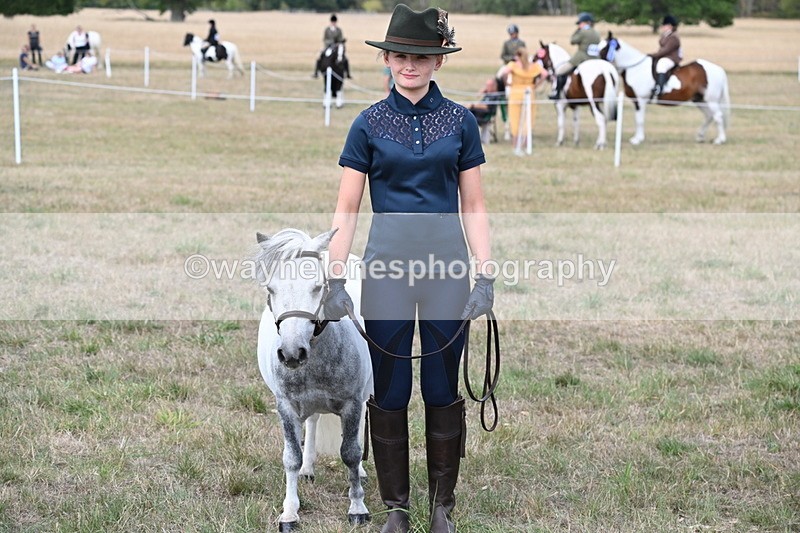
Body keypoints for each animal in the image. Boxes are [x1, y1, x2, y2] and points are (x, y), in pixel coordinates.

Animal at [254, 228, 372, 532]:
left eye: (318, 287)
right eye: (270, 290)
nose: (292, 353)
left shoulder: (351, 403)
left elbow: (351, 452)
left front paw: (357, 508)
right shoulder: (286, 406)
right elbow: (291, 457)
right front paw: (289, 513)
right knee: (314, 421)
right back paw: (308, 469)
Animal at [599, 32, 730, 145]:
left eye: (605, 48)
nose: (598, 63)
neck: (635, 68)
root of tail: (719, 69)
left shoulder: (640, 101)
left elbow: (639, 120)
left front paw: (637, 140)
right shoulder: (637, 101)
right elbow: (638, 119)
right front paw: (637, 138)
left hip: (711, 100)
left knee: (718, 116)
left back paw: (720, 140)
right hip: (699, 100)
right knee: (709, 116)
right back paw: (700, 136)